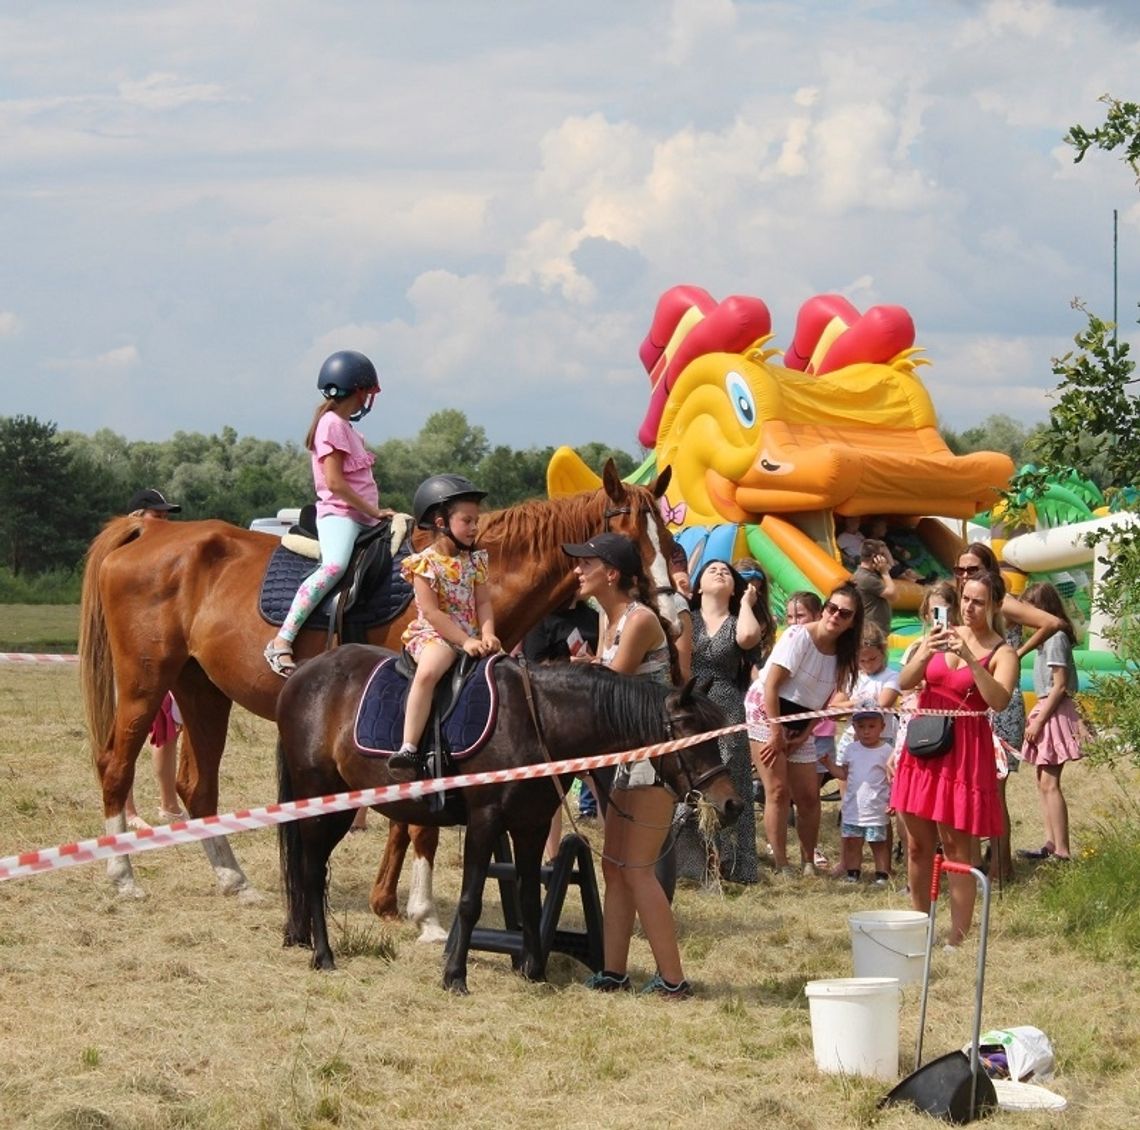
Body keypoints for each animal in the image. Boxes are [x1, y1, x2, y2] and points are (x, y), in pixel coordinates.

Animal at [82, 460, 674, 921]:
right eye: (626, 539)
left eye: (668, 537)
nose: (671, 610)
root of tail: (150, 533)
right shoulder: (416, 701)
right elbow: (415, 816)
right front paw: (421, 910)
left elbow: (405, 812)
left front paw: (388, 901)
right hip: (145, 681)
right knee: (116, 765)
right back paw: (122, 874)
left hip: (201, 689)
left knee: (197, 786)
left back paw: (235, 880)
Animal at [274, 647, 738, 994]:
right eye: (690, 734)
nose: (731, 803)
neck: (538, 721)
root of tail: (303, 674)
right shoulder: (485, 821)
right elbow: (471, 900)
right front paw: (454, 976)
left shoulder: (532, 826)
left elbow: (532, 898)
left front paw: (534, 971)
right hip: (323, 801)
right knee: (311, 874)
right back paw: (323, 955)